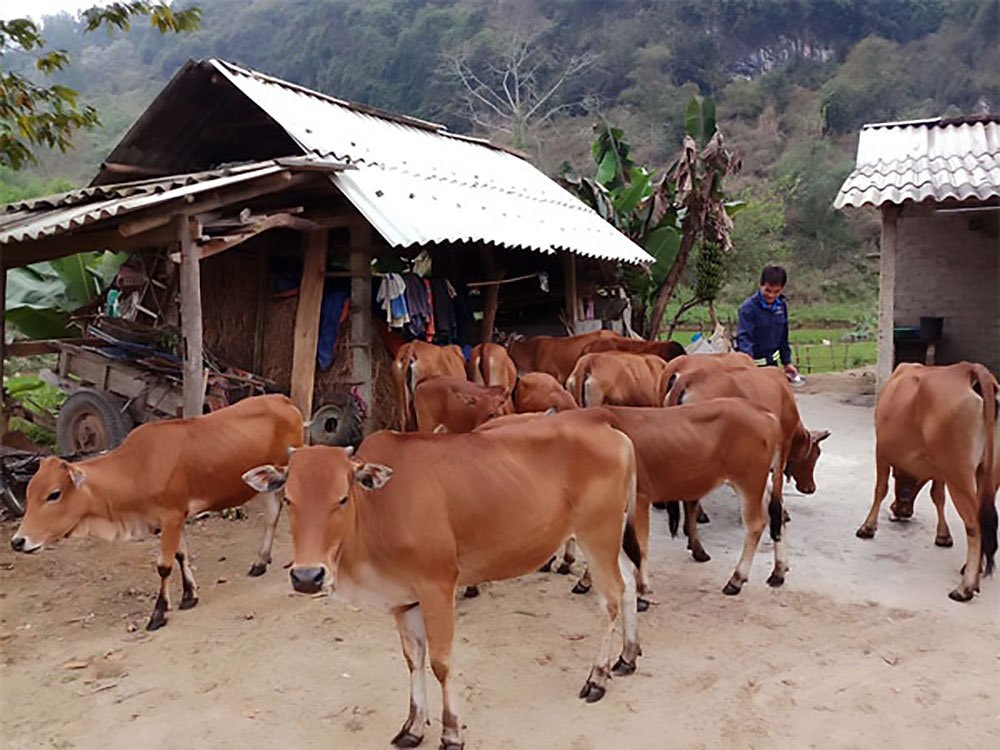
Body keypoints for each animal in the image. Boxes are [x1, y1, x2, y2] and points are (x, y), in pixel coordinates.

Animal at [246, 420, 644, 748]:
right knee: (628, 583)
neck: (380, 508)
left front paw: (451, 733)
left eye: (341, 498)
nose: (307, 577)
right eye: (289, 499)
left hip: (597, 534)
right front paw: (413, 726)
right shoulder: (403, 599)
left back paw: (597, 679)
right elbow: (413, 659)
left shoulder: (437, 586)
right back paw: (627, 656)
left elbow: (440, 663)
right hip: (610, 538)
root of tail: (614, 433)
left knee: (610, 599)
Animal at [856, 362, 996, 604]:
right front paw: (943, 535)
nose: (899, 509)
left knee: (975, 525)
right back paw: (972, 572)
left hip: (959, 472)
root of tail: (968, 368)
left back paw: (965, 587)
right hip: (988, 473)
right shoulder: (939, 468)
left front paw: (867, 527)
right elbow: (937, 496)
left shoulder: (881, 449)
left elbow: (880, 489)